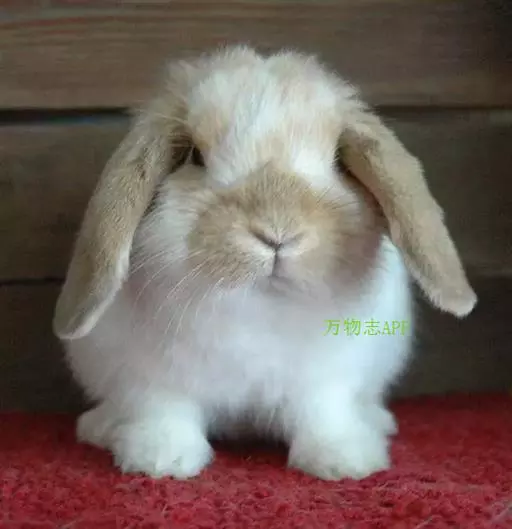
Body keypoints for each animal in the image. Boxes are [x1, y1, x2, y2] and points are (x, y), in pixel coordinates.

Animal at [53, 45, 477, 481]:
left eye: (337, 160)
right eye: (193, 155)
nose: (277, 232)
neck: (261, 303)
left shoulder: (327, 382)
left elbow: (324, 416)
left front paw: (343, 462)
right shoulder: (154, 379)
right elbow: (164, 411)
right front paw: (161, 460)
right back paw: (101, 427)